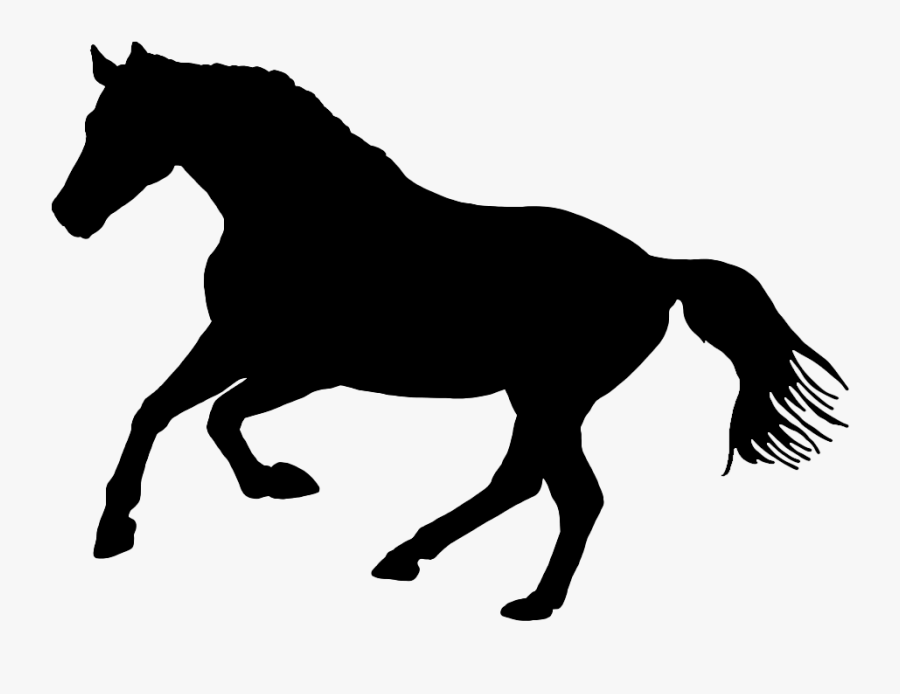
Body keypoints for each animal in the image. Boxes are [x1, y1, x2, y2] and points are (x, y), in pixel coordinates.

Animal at [52, 43, 847, 621]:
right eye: (92, 125)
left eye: (124, 127)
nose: (68, 214)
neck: (305, 214)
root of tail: (655, 269)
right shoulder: (243, 346)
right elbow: (169, 410)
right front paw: (189, 507)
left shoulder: (296, 364)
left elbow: (208, 412)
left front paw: (220, 496)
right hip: (542, 400)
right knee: (535, 486)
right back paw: (437, 566)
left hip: (552, 397)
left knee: (562, 492)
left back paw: (504, 593)